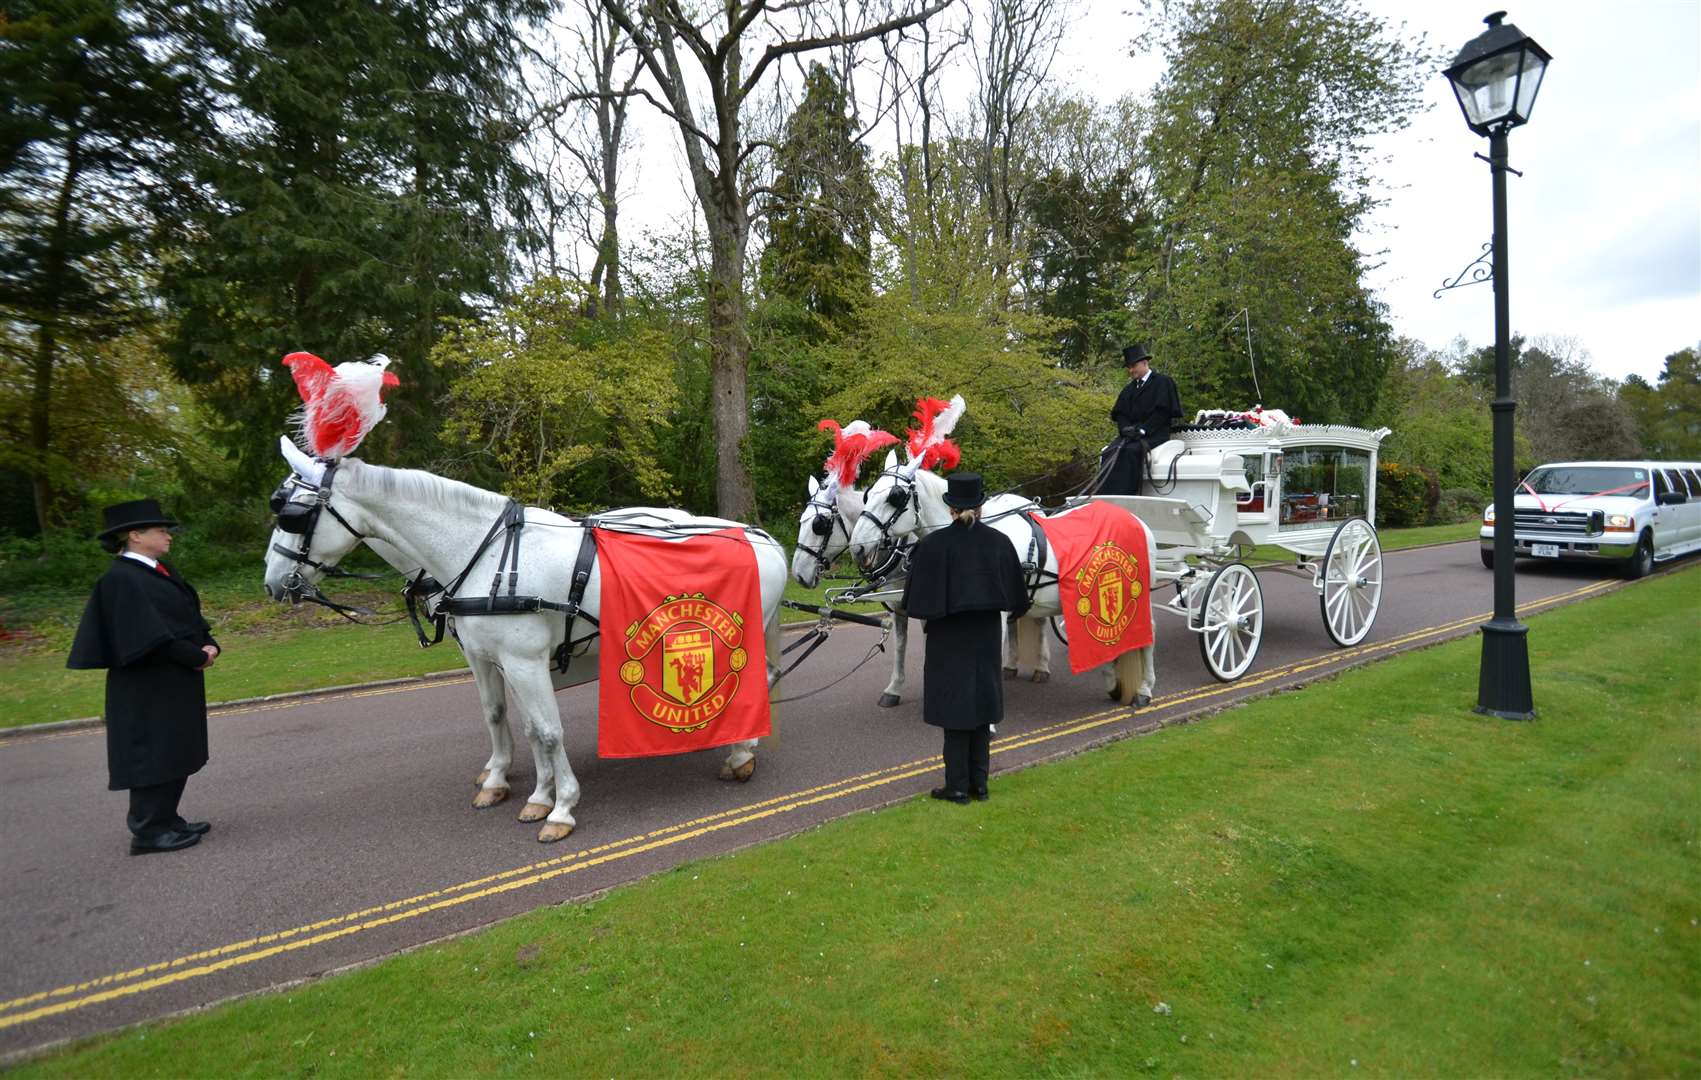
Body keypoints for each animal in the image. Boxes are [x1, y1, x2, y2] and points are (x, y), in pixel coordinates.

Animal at [260, 355, 789, 843]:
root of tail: (760, 535)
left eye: (291, 514)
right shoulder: (490, 657)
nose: (273, 582)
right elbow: (511, 720)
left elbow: (548, 731)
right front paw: (525, 788)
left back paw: (741, 751)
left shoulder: (524, 659)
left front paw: (561, 806)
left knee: (753, 681)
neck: (485, 553)